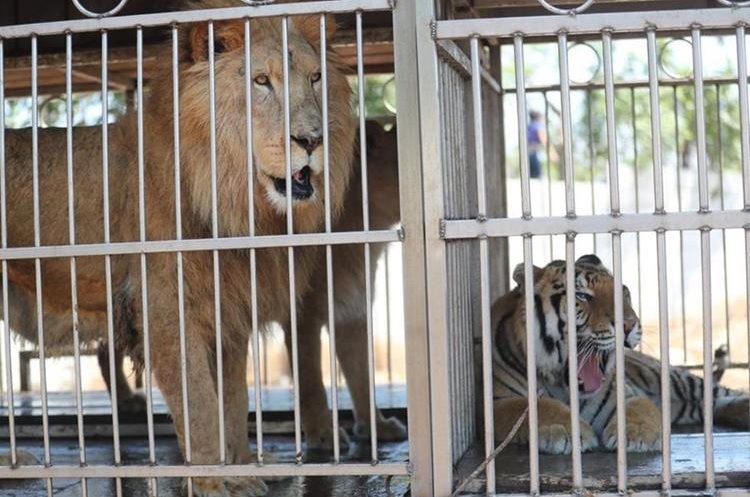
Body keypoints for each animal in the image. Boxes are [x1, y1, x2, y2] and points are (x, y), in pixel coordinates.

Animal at [0, 2, 356, 492]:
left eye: (316, 78)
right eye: (261, 81)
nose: (312, 140)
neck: (239, 203)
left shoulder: (230, 307)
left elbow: (233, 398)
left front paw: (240, 470)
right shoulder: (166, 307)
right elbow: (200, 403)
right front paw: (213, 483)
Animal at [494, 256, 750, 454]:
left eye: (624, 293)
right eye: (582, 296)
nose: (629, 324)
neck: (563, 385)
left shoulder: (625, 394)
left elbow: (638, 407)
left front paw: (637, 435)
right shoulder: (497, 403)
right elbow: (538, 406)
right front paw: (570, 430)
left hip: (673, 379)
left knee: (718, 394)